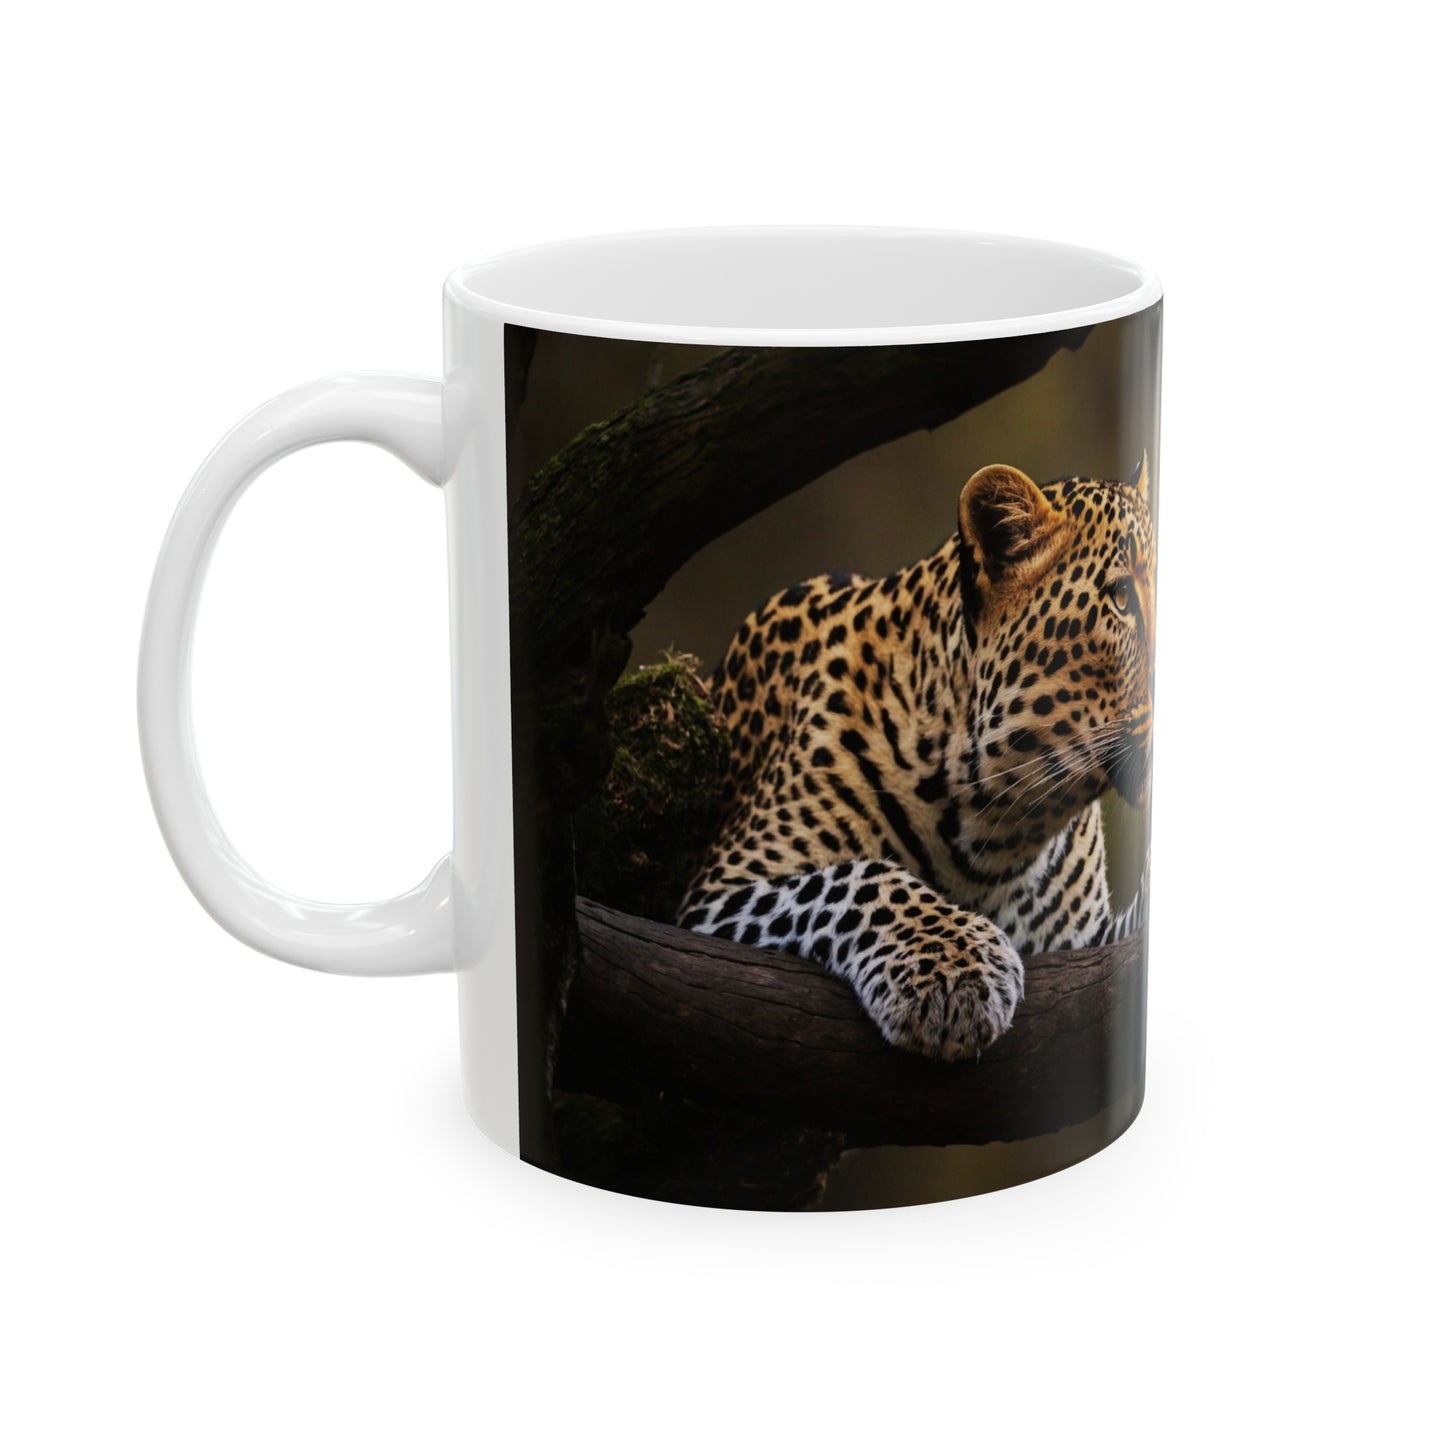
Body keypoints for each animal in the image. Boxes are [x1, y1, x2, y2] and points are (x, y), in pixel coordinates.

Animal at [676, 457, 1155, 1063]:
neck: (999, 828)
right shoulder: (717, 895)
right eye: (1121, 598)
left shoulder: (1086, 941)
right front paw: (953, 968)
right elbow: (858, 879)